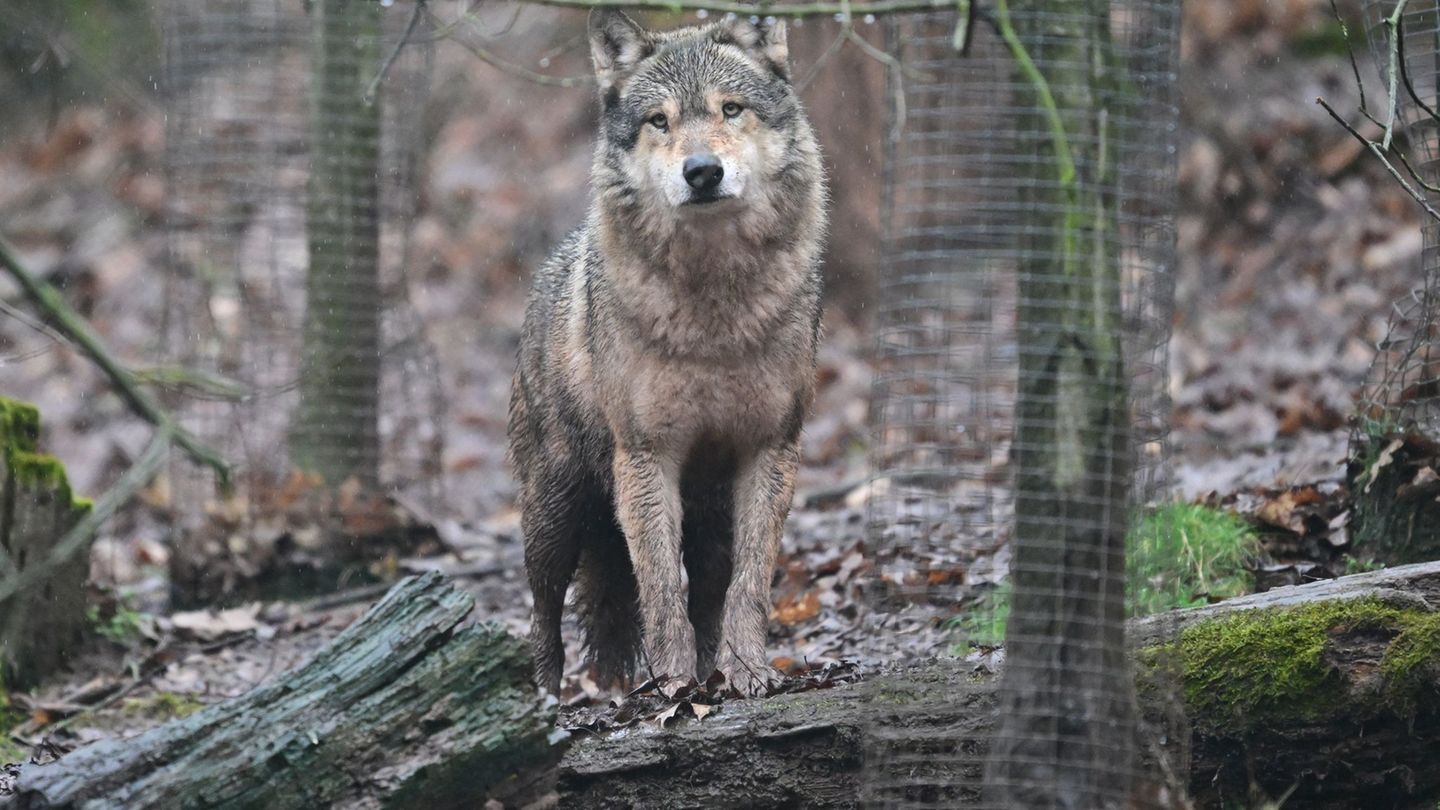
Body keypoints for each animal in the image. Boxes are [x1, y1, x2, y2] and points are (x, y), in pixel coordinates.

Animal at [506, 9, 827, 696]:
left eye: (731, 109)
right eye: (660, 120)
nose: (702, 171)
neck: (715, 313)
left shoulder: (771, 449)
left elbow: (749, 585)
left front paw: (746, 673)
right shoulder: (646, 456)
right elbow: (657, 585)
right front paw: (675, 686)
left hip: (705, 517)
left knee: (706, 587)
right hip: (555, 512)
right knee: (543, 611)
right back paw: (544, 697)